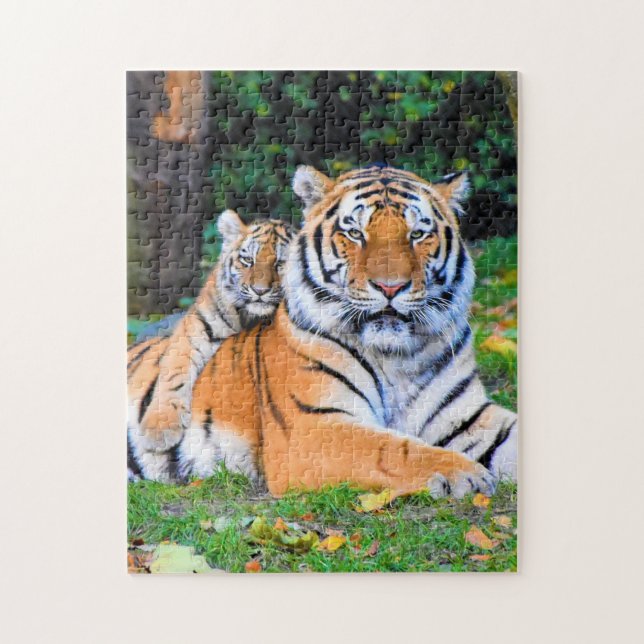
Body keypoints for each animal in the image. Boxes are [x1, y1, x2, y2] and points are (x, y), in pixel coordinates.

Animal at [127, 211, 294, 480]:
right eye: (248, 260)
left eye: (280, 263)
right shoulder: (194, 328)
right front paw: (158, 431)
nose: (259, 291)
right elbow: (174, 373)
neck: (251, 316)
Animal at [169, 165, 516, 498]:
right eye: (355, 233)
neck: (397, 357)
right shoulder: (310, 429)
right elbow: (392, 450)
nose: (390, 287)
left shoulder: (468, 416)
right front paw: (466, 474)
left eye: (417, 234)